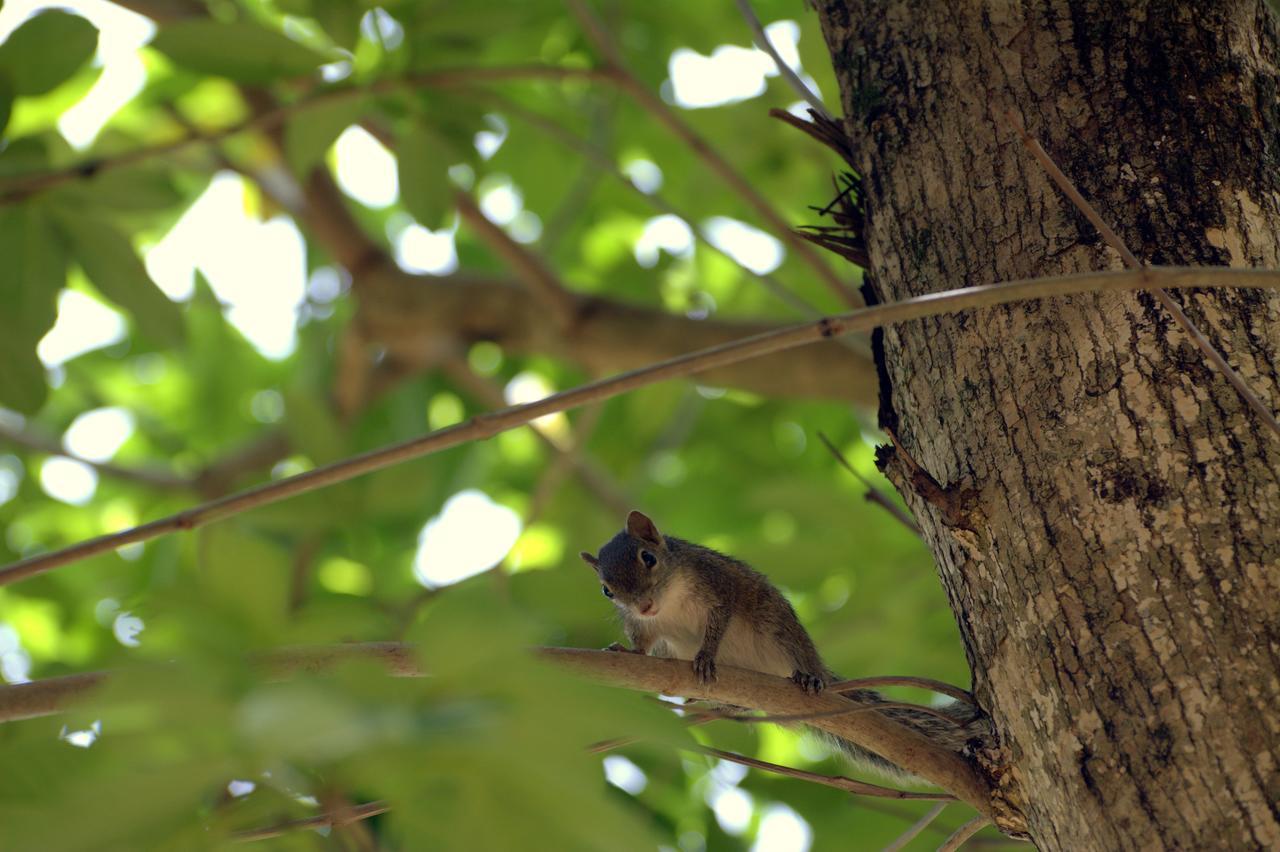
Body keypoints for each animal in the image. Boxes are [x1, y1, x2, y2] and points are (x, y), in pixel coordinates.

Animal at [581, 506, 977, 777]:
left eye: (648, 558)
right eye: (606, 590)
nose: (644, 605)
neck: (669, 604)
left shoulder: (717, 585)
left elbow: (718, 622)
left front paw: (707, 655)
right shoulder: (644, 626)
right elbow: (643, 642)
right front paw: (627, 651)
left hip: (779, 628)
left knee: (799, 654)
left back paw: (808, 676)